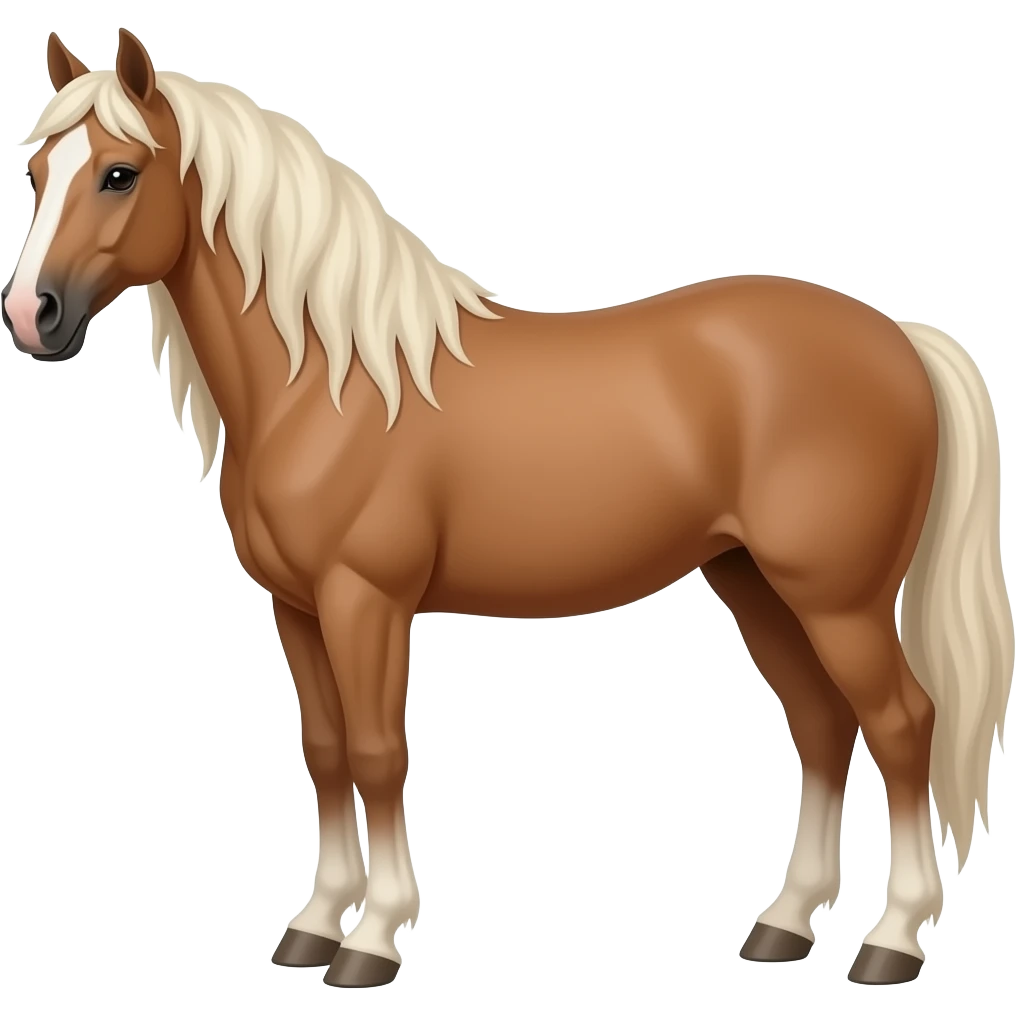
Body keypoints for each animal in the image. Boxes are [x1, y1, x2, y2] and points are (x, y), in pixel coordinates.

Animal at [3, 29, 1012, 990]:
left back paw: (891, 942)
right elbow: (325, 753)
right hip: (755, 583)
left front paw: (371, 941)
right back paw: (784, 926)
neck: (333, 381)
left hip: (837, 598)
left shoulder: (365, 600)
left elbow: (378, 753)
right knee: (822, 725)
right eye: (38, 172)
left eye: (119, 173)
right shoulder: (296, 607)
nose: (29, 316)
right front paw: (311, 927)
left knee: (903, 725)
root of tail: (900, 339)